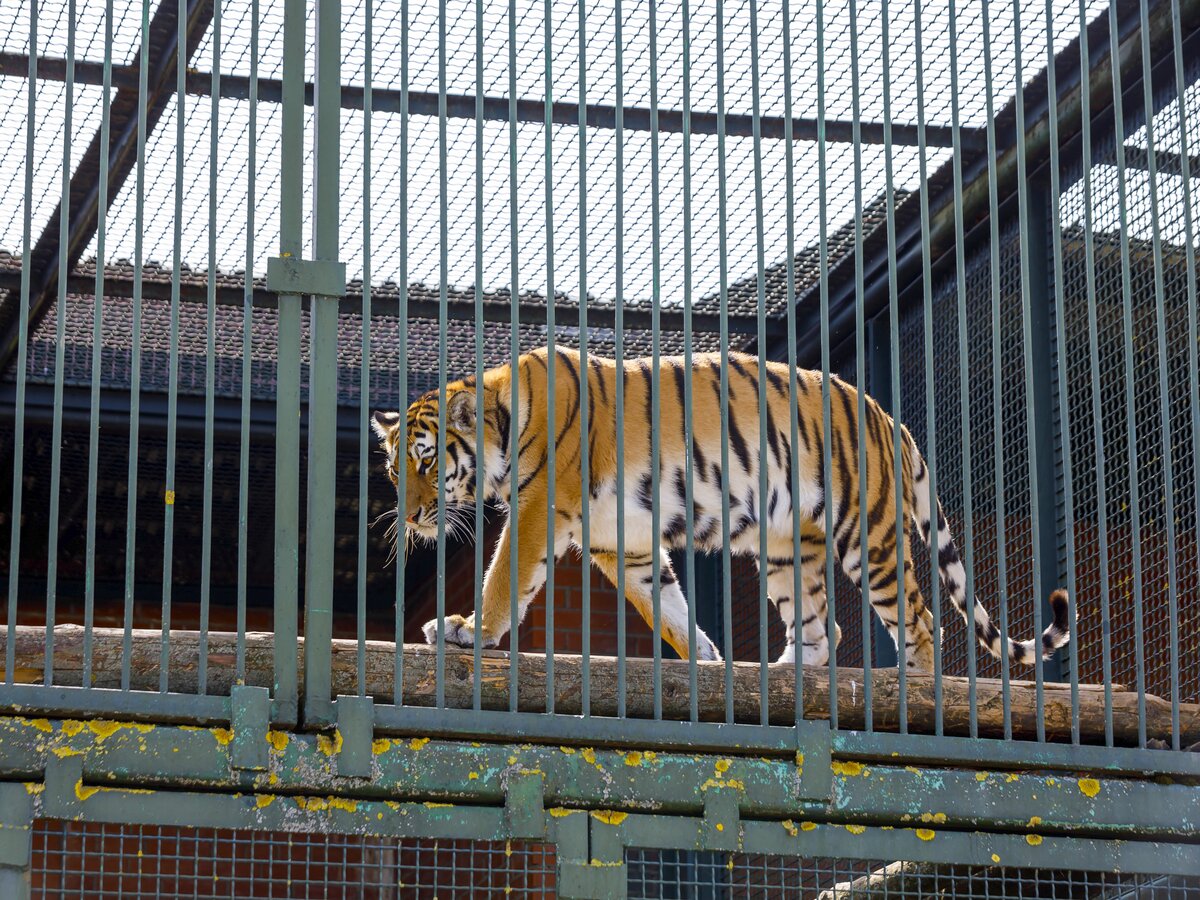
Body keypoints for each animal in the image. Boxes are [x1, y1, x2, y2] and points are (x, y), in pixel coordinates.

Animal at [372, 348, 1070, 672]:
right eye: (395, 470)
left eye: (428, 463)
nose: (411, 517)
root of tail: (889, 420)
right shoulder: (623, 544)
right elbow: (667, 607)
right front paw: (705, 658)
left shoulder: (543, 509)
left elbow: (502, 579)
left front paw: (466, 630)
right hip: (787, 550)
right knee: (823, 631)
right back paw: (783, 673)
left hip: (865, 532)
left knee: (922, 621)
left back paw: (920, 691)